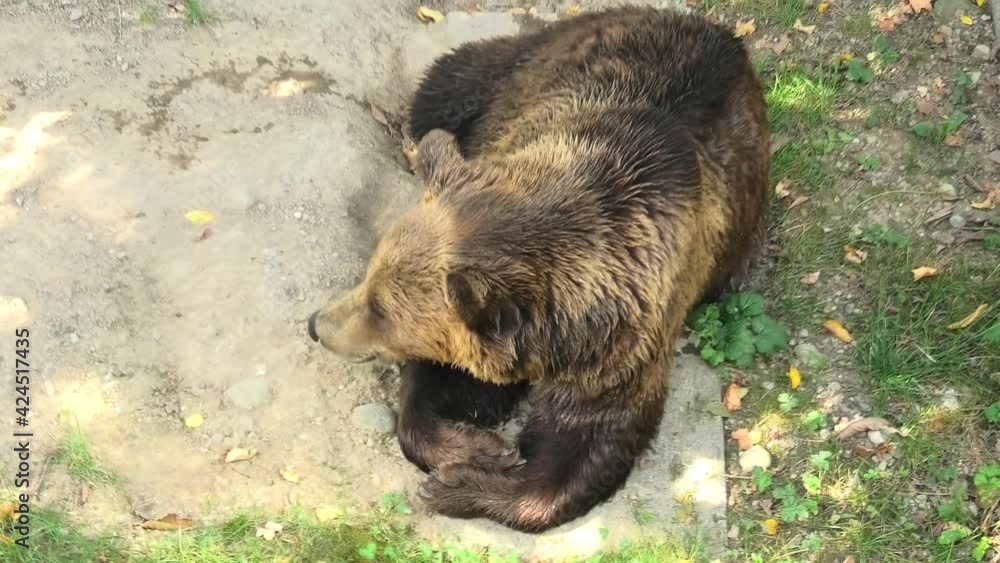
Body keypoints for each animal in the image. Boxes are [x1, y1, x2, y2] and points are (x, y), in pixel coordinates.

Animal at [307, 6, 769, 533]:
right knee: (441, 94)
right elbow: (441, 386)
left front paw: (460, 484)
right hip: (519, 67)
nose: (317, 325)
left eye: (380, 308)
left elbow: (586, 441)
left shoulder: (621, 348)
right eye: (371, 276)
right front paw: (478, 447)